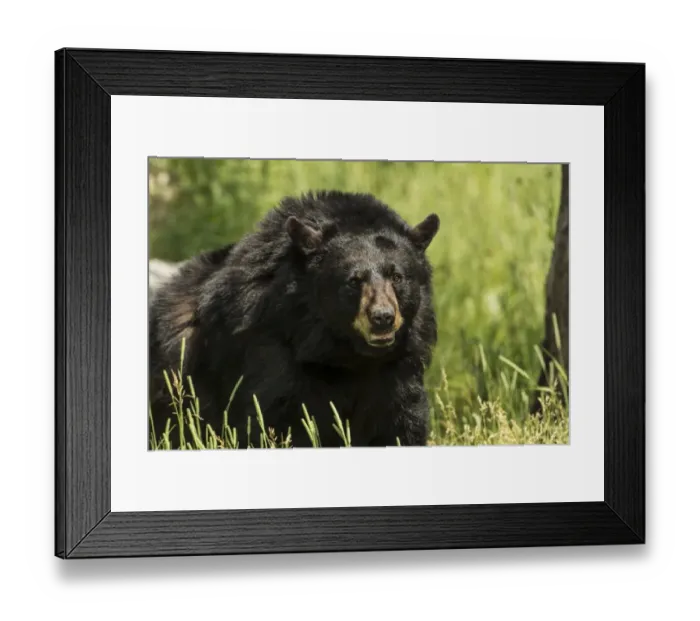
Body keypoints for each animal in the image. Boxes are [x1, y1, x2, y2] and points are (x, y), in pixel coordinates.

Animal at [148, 190, 440, 448]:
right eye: (354, 280)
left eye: (397, 276)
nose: (382, 317)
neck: (343, 354)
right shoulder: (270, 356)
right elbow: (273, 423)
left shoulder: (397, 369)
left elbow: (401, 423)